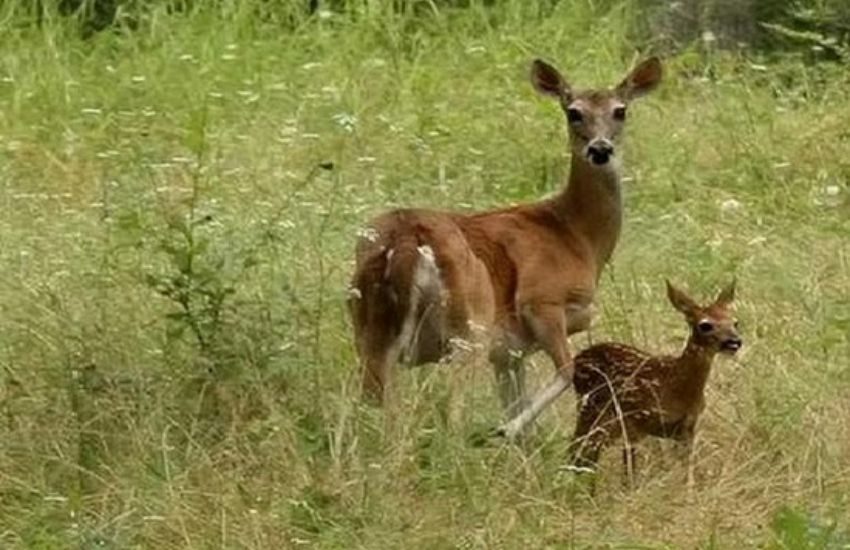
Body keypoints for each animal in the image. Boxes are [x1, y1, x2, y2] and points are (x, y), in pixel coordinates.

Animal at [348, 57, 660, 440]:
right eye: (573, 112)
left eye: (620, 110)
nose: (600, 150)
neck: (578, 236)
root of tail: (407, 239)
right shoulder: (542, 301)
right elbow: (566, 371)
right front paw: (505, 430)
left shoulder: (509, 353)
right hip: (468, 326)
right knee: (452, 410)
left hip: (367, 326)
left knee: (371, 405)